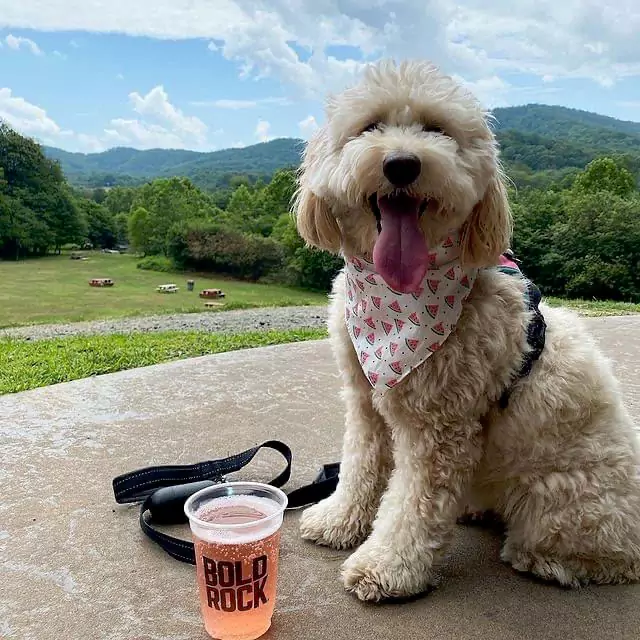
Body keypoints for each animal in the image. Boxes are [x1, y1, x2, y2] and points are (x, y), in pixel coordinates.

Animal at [292, 58, 640, 600]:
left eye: (437, 130)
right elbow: (360, 465)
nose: (402, 164)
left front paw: (387, 567)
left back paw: (546, 560)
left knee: (605, 557)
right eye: (370, 126)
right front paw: (338, 521)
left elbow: (413, 504)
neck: (397, 302)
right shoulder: (365, 401)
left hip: (562, 502)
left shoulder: (439, 427)